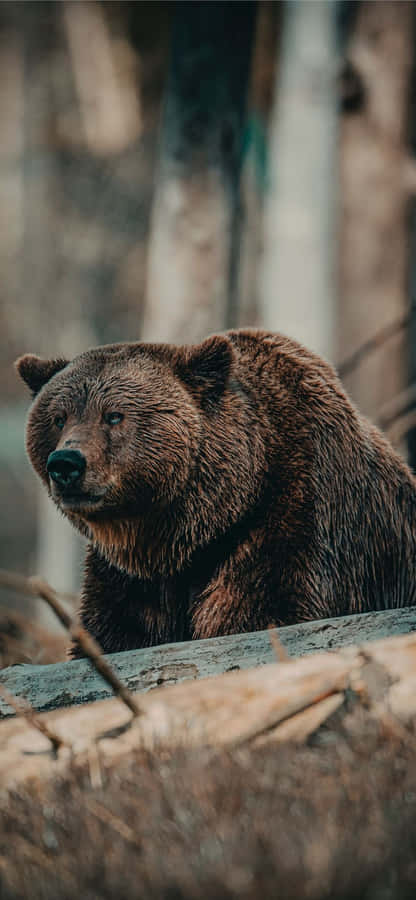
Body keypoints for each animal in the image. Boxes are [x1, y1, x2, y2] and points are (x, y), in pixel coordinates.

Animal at [16, 329, 416, 656]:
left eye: (114, 415)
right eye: (59, 417)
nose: (65, 463)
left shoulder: (296, 517)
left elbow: (263, 610)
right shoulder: (131, 577)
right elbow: (116, 631)